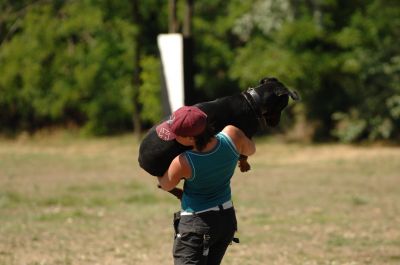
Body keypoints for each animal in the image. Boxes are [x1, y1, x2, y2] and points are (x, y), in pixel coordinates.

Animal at [139, 76, 298, 177]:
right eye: (284, 105)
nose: (275, 123)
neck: (253, 101)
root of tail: (140, 160)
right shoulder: (245, 135)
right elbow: (244, 154)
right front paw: (244, 164)